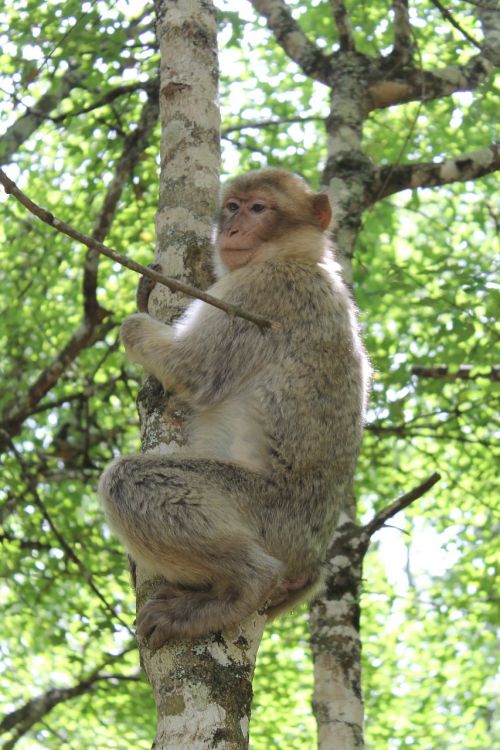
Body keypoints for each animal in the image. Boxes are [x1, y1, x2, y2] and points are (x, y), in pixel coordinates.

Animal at [98, 167, 372, 648]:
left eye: (258, 208)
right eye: (232, 206)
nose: (232, 229)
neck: (302, 258)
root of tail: (310, 559)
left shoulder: (258, 292)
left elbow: (193, 370)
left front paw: (135, 323)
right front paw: (146, 290)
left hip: (267, 514)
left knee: (130, 481)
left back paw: (243, 588)